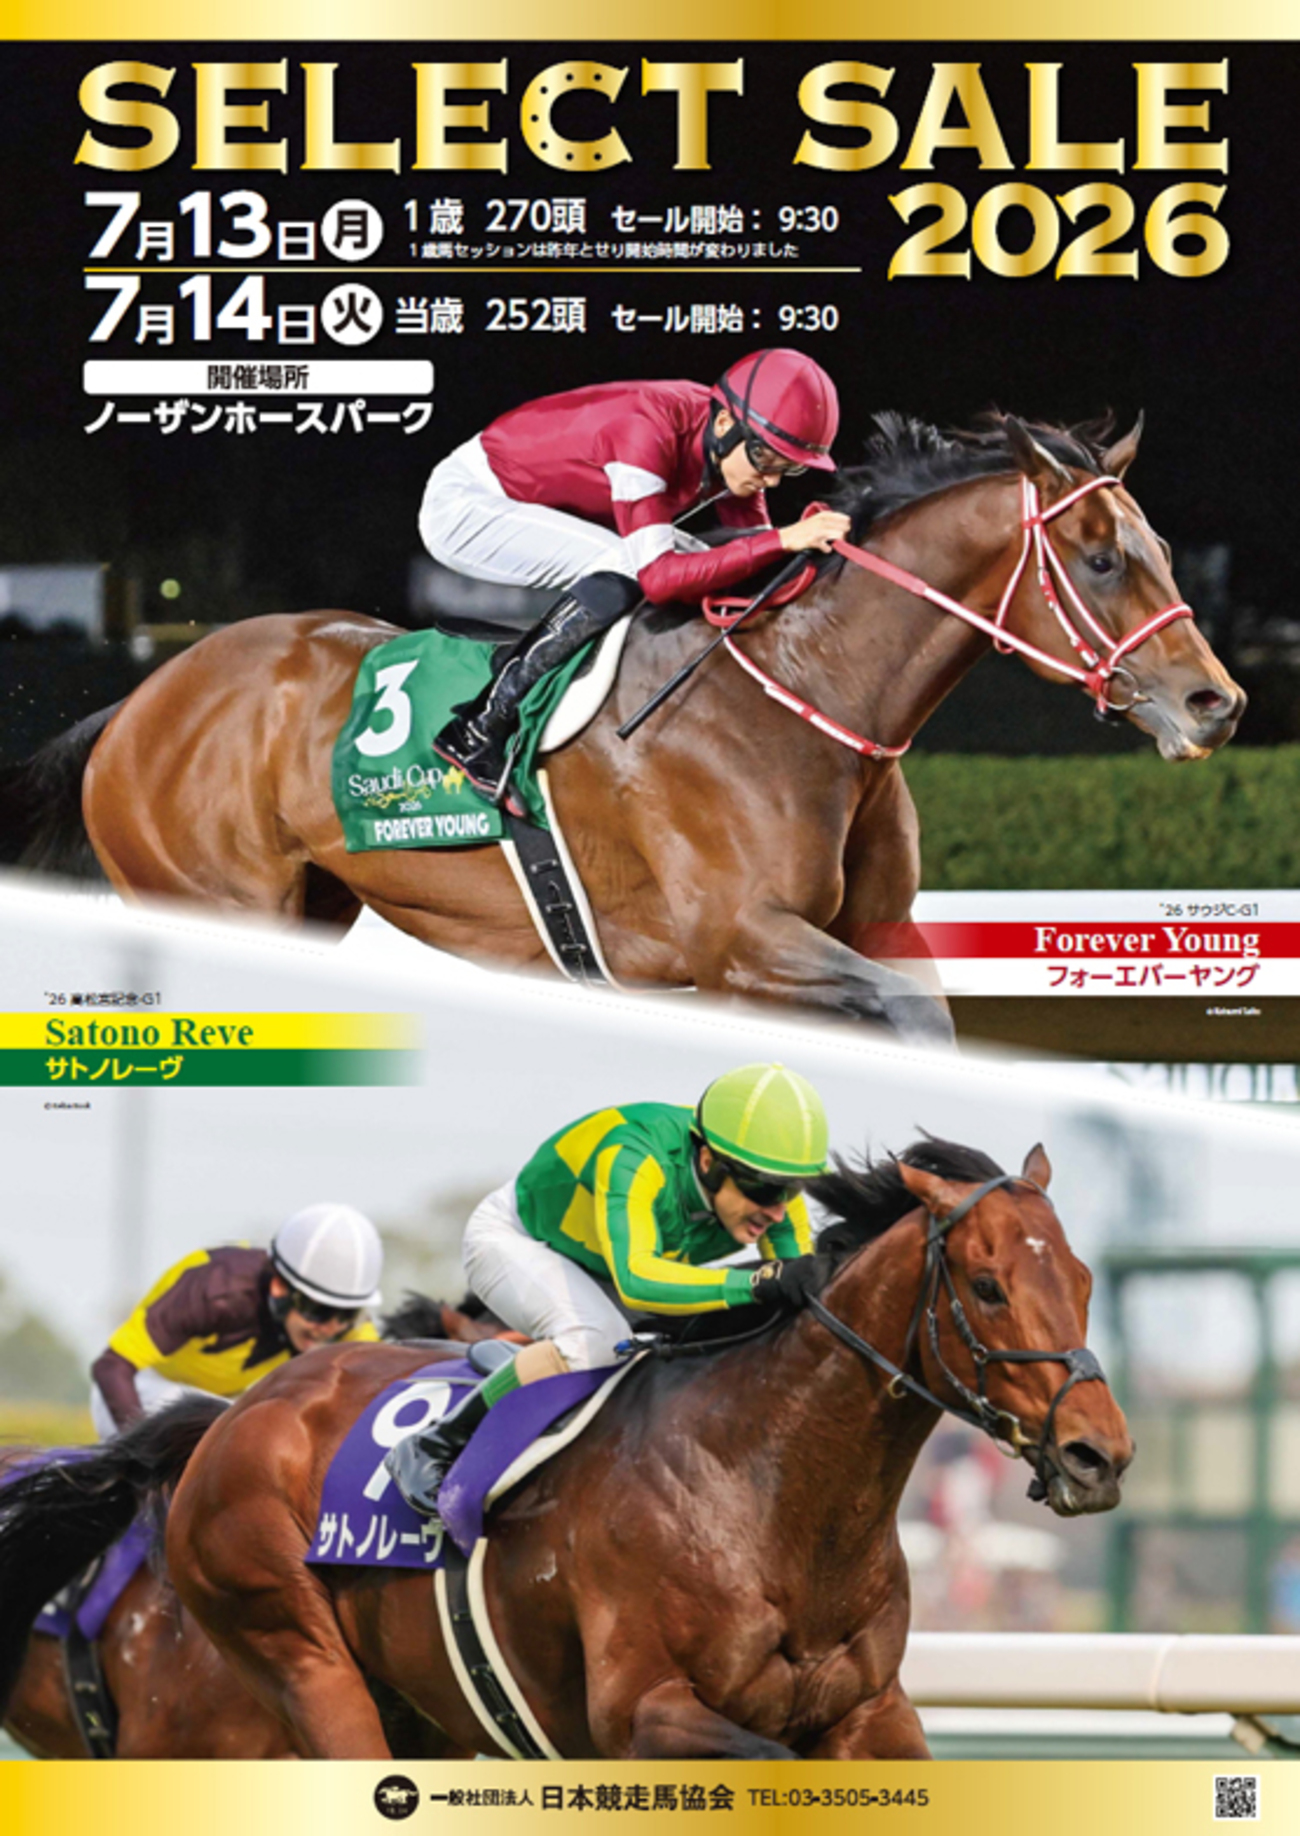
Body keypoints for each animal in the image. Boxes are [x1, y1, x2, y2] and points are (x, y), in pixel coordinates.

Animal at [0, 416, 1242, 1048]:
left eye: (1159, 550)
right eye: (1100, 559)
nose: (1214, 704)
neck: (804, 696)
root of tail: (144, 700)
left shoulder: (873, 931)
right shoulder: (738, 942)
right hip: (214, 896)